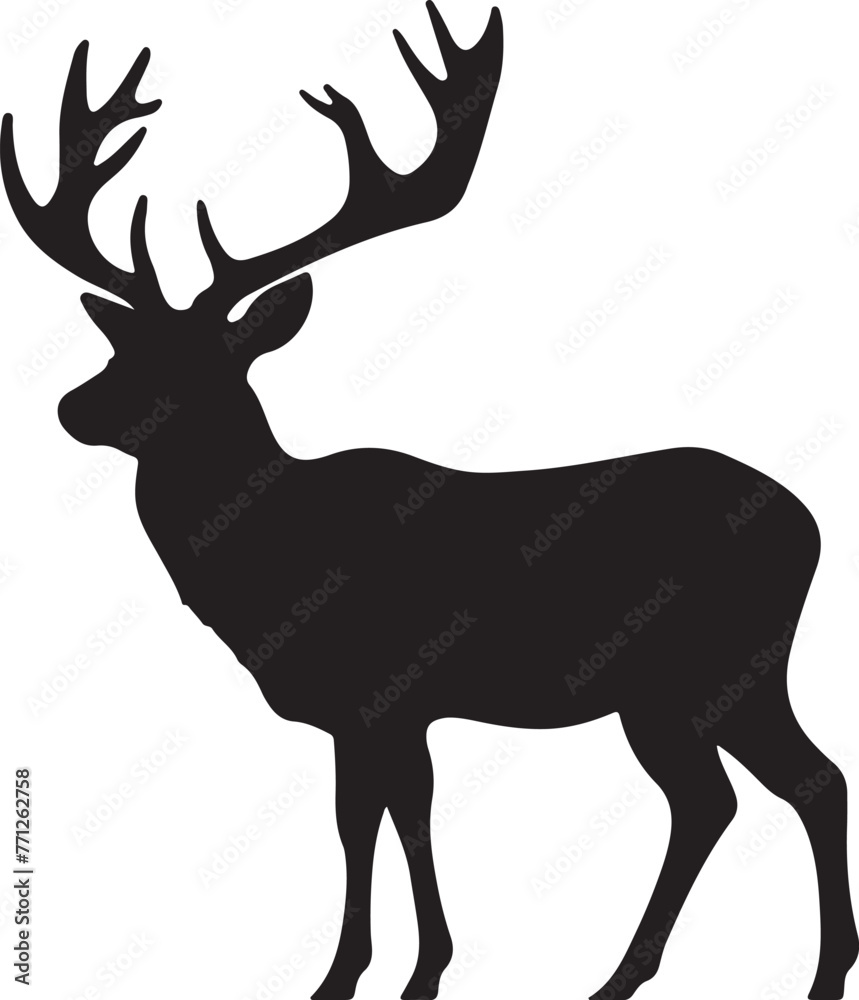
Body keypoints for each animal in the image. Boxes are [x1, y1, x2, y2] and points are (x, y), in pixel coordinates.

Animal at [2, 4, 856, 999]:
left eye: (203, 365)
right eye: (122, 346)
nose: (73, 407)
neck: (267, 573)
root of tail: (811, 525)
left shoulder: (389, 693)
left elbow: (396, 818)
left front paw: (405, 974)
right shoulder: (355, 714)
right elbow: (362, 822)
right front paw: (359, 974)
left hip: (724, 664)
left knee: (791, 784)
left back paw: (805, 973)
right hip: (679, 690)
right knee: (729, 795)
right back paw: (636, 975)